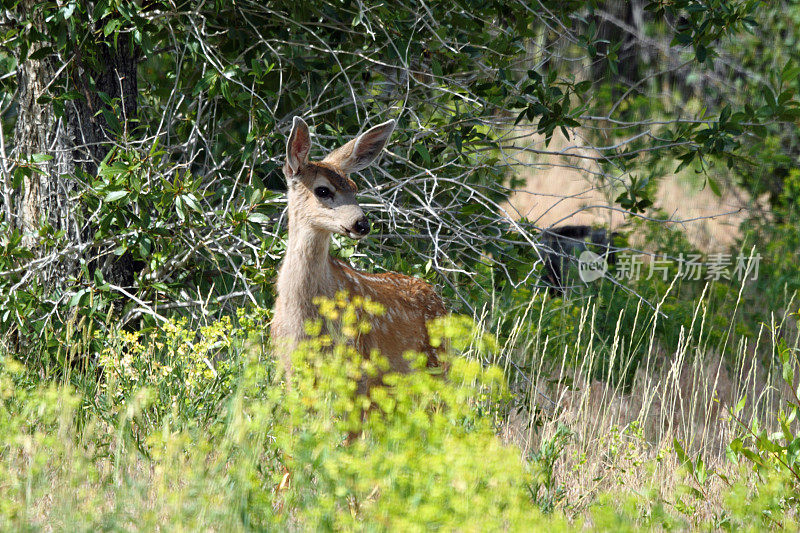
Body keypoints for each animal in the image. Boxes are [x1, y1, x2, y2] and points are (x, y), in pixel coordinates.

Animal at [272, 115, 450, 386]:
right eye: (322, 190)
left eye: (355, 188)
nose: (362, 224)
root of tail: (437, 296)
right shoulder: (290, 366)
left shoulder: (356, 360)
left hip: (436, 363)